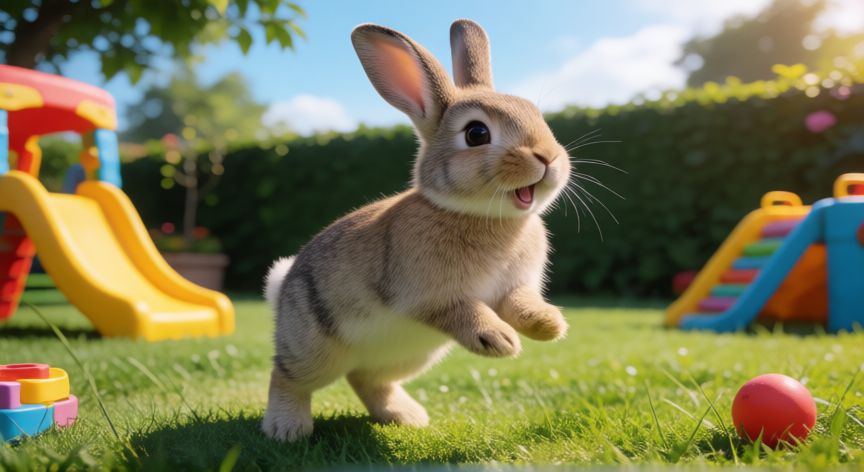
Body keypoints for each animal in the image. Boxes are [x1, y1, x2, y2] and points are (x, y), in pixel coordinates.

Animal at [262, 19, 571, 441]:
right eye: (477, 134)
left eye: (540, 118)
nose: (548, 157)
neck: (485, 217)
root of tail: (281, 290)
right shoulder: (431, 297)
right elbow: (463, 311)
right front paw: (499, 340)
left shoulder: (514, 287)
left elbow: (520, 303)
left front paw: (548, 325)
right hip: (314, 348)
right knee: (287, 376)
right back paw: (286, 428)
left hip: (409, 357)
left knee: (366, 379)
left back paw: (407, 417)